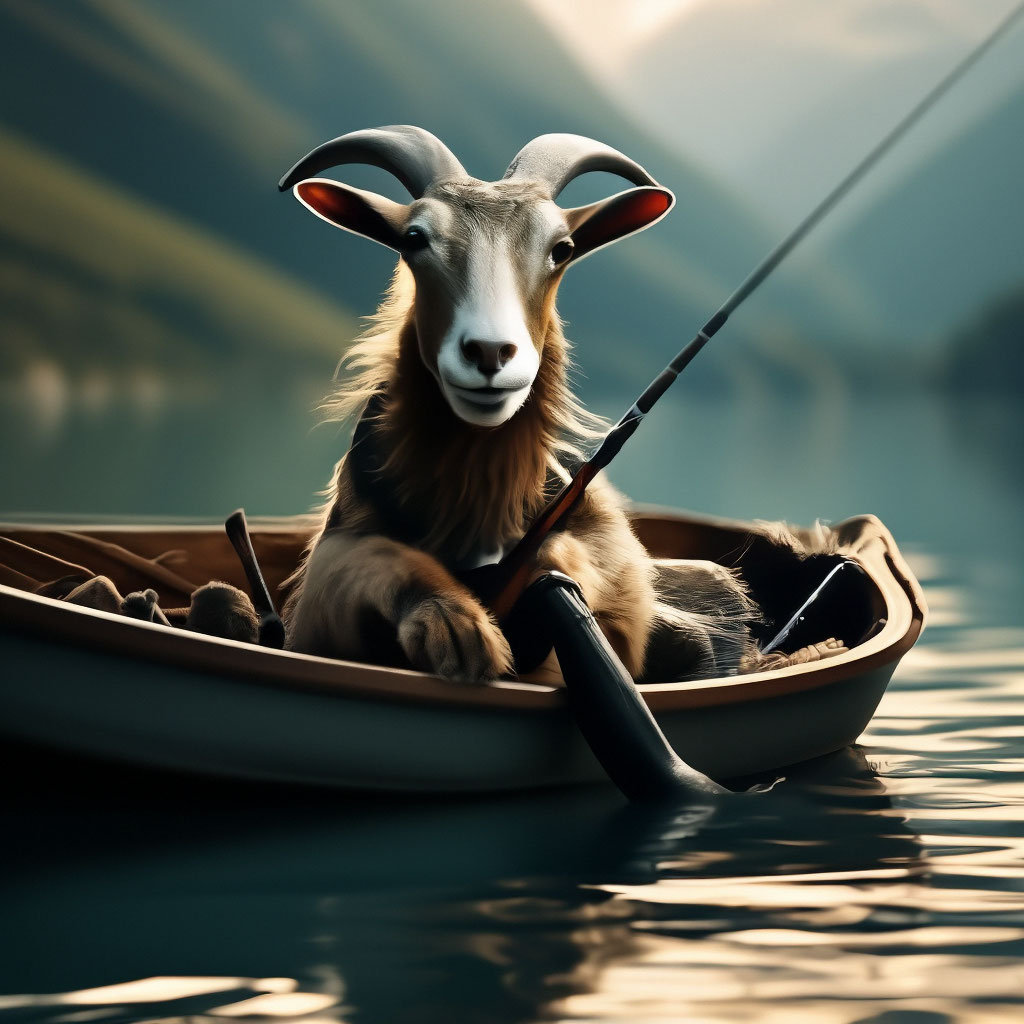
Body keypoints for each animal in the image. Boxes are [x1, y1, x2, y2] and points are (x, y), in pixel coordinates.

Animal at [278, 126, 764, 683]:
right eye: (413, 238)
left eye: (563, 248)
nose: (490, 352)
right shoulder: (332, 564)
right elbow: (372, 557)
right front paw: (457, 629)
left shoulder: (602, 538)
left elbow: (588, 560)